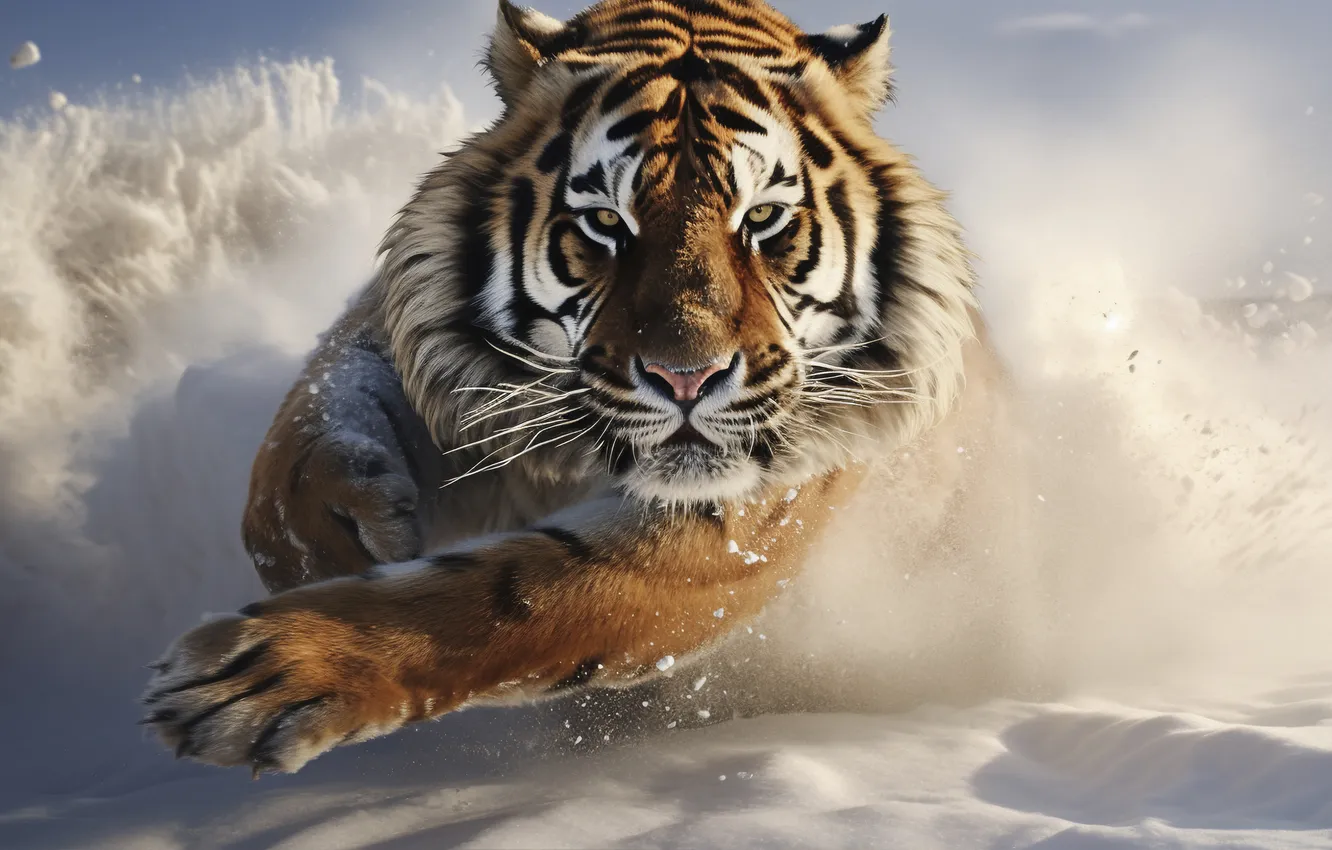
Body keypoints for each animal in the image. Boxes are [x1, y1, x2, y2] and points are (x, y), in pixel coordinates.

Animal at [140, 0, 1011, 775]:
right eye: (605, 223)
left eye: (762, 218)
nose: (686, 377)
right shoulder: (416, 336)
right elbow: (305, 433)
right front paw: (332, 538)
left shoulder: (727, 526)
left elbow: (514, 596)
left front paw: (251, 679)